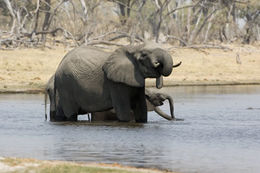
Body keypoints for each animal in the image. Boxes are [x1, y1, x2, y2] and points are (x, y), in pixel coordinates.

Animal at [54, 44, 182, 123]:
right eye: (144, 55)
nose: (176, 119)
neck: (133, 47)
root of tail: (58, 67)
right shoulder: (115, 83)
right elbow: (124, 112)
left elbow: (141, 109)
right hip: (66, 84)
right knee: (71, 114)